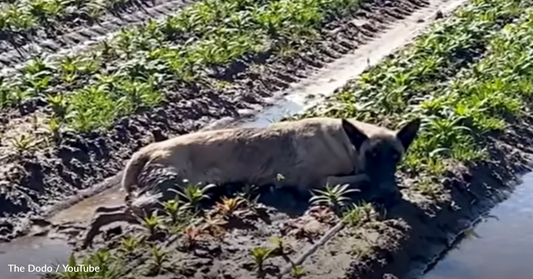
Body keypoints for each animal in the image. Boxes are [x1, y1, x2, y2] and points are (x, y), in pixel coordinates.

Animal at [79, 117, 420, 248]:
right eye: (372, 155)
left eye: (395, 156)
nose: (389, 191)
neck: (347, 143)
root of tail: (147, 149)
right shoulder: (317, 181)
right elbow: (358, 178)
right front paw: (373, 185)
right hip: (167, 195)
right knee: (106, 213)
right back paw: (90, 238)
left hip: (176, 196)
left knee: (115, 211)